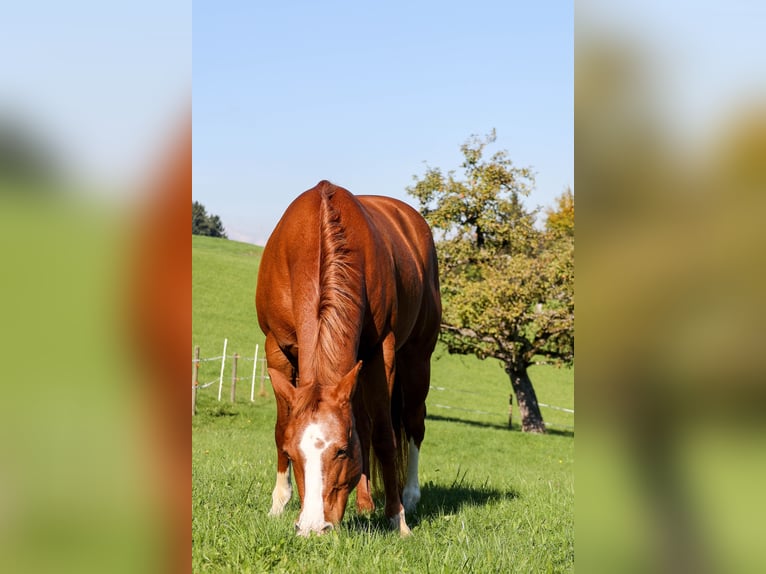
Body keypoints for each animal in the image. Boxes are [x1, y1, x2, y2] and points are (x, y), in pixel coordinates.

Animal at [256, 181, 440, 540]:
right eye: (293, 453)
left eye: (341, 450)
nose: (314, 527)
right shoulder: (276, 347)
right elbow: (282, 425)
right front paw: (278, 504)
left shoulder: (381, 351)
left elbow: (384, 435)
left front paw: (397, 519)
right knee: (365, 424)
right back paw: (365, 502)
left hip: (416, 359)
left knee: (413, 423)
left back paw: (409, 497)